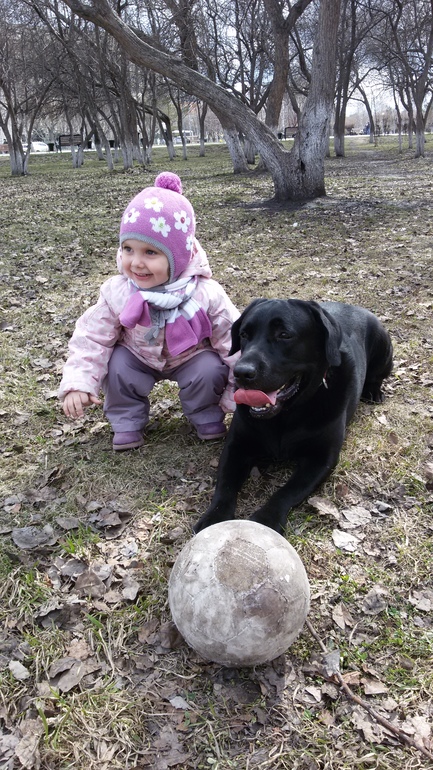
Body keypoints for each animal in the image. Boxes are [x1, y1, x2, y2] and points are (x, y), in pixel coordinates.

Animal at [193, 299, 393, 534]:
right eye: (244, 334)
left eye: (284, 335)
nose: (241, 372)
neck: (285, 416)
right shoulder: (237, 446)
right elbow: (225, 484)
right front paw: (215, 517)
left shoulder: (321, 458)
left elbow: (287, 491)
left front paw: (266, 519)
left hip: (384, 348)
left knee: (377, 375)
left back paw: (373, 391)